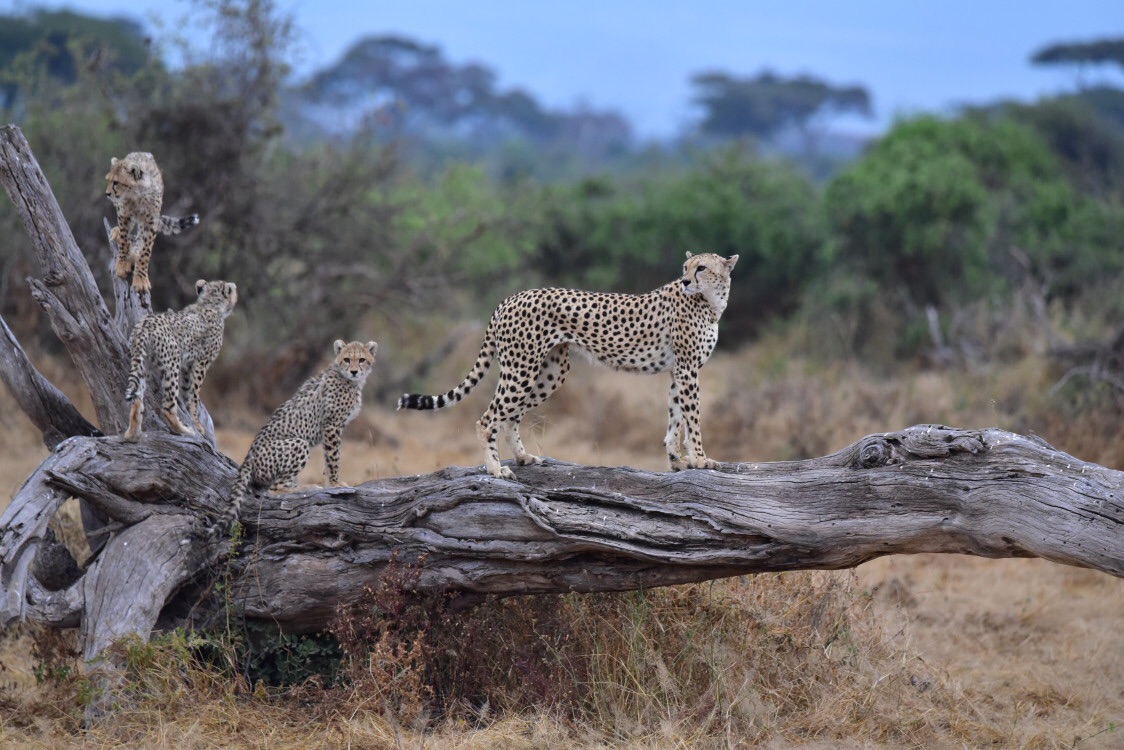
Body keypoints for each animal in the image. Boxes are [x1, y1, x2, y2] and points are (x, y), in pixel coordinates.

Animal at [105, 150, 200, 294]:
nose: (107, 193)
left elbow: (145, 251)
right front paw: (122, 264)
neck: (136, 195)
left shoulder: (151, 221)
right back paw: (117, 233)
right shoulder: (124, 213)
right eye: (109, 181)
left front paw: (140, 279)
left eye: (116, 182)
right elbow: (123, 239)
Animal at [122, 278, 237, 443]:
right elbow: (194, 394)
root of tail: (144, 325)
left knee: (137, 398)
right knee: (168, 407)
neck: (209, 303)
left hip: (143, 364)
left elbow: (187, 390)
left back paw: (133, 434)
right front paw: (197, 425)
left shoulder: (187, 365)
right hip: (172, 362)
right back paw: (185, 430)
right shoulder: (201, 363)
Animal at [216, 339, 379, 532]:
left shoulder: (333, 428)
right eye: (347, 359)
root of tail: (248, 458)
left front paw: (329, 483)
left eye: (361, 360)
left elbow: (327, 459)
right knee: (275, 488)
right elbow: (333, 458)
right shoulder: (332, 426)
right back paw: (305, 488)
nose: (354, 371)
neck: (347, 379)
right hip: (299, 443)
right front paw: (335, 484)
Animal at [397, 249, 737, 479]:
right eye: (685, 267)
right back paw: (495, 468)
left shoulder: (679, 370)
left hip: (548, 372)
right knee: (488, 418)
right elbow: (692, 418)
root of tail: (509, 299)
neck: (711, 302)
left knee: (510, 416)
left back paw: (522, 458)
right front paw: (701, 459)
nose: (684, 281)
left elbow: (675, 418)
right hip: (521, 369)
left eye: (701, 268)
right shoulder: (687, 369)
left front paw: (677, 460)